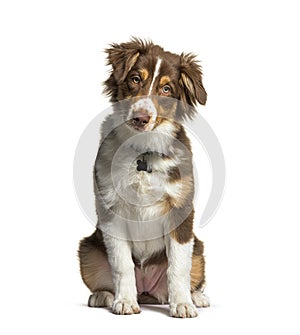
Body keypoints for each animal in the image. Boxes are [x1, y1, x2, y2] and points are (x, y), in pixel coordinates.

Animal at [78, 38, 210, 318]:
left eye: (167, 89)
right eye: (135, 79)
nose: (141, 118)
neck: (143, 150)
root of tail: (148, 290)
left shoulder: (180, 212)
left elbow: (178, 267)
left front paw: (183, 304)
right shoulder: (111, 211)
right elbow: (122, 265)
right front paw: (125, 301)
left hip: (199, 250)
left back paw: (196, 297)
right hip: (88, 249)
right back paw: (103, 295)